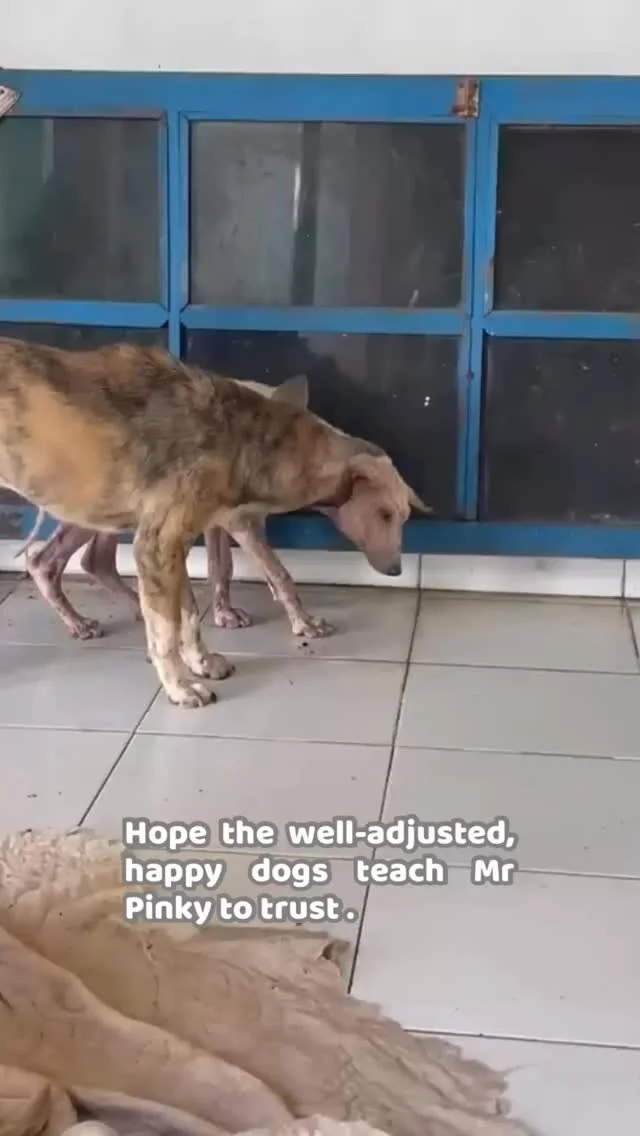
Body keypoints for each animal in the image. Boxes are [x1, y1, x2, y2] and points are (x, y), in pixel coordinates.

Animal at [16, 374, 328, 641]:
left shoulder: (221, 520)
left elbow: (222, 566)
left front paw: (224, 613)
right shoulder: (239, 521)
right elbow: (277, 571)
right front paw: (304, 622)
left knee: (95, 559)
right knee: (44, 562)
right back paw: (78, 623)